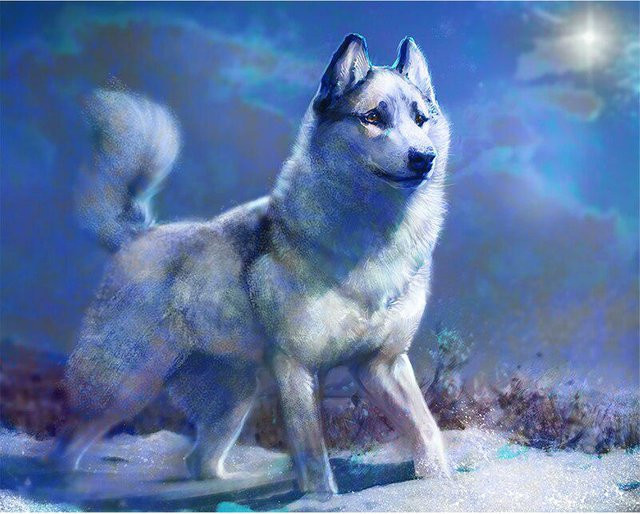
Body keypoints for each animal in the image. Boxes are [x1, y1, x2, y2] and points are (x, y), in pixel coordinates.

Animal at [55, 34, 451, 496]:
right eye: (373, 117)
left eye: (420, 119)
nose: (424, 157)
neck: (371, 240)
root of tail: (138, 236)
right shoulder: (296, 368)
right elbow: (313, 458)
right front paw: (320, 500)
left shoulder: (381, 365)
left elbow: (427, 429)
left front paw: (440, 484)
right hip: (126, 385)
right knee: (66, 444)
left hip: (232, 399)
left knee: (199, 461)